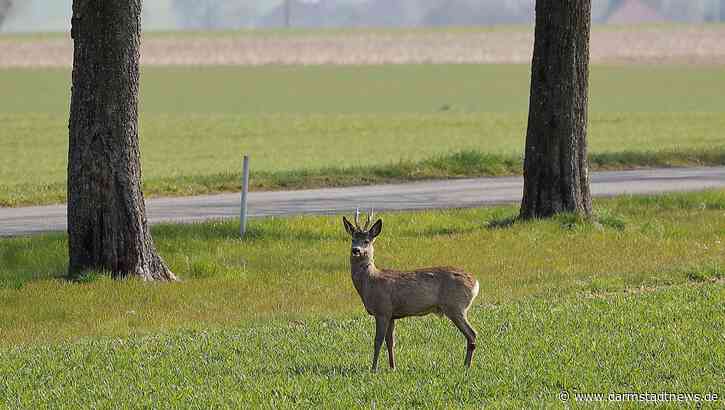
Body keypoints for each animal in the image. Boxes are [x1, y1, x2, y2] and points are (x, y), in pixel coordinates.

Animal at [342, 210, 478, 370]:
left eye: (366, 241)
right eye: (353, 239)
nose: (355, 250)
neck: (369, 283)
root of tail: (475, 283)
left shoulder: (382, 310)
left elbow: (377, 341)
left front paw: (373, 368)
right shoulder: (392, 315)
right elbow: (390, 342)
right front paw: (393, 367)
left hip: (455, 306)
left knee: (472, 334)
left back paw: (466, 366)